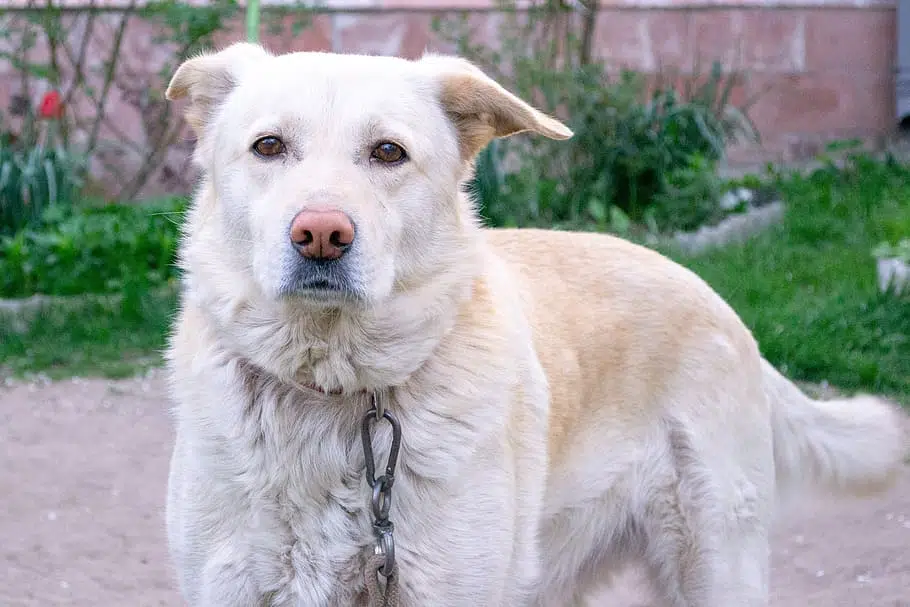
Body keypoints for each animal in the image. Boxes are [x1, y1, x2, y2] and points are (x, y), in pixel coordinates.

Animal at [162, 42, 904, 607]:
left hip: (715, 568)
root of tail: (719, 302)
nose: (321, 233)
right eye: (268, 146)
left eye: (388, 153)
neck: (336, 393)